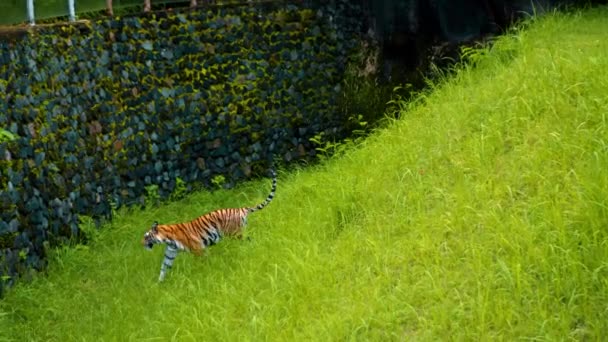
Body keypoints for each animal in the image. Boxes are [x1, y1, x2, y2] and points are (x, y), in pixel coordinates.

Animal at [141, 170, 276, 282]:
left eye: (146, 237)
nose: (141, 244)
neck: (167, 240)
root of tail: (241, 208)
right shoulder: (170, 254)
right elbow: (163, 268)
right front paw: (158, 284)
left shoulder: (198, 248)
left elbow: (203, 260)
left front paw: (205, 271)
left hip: (235, 234)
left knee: (248, 240)